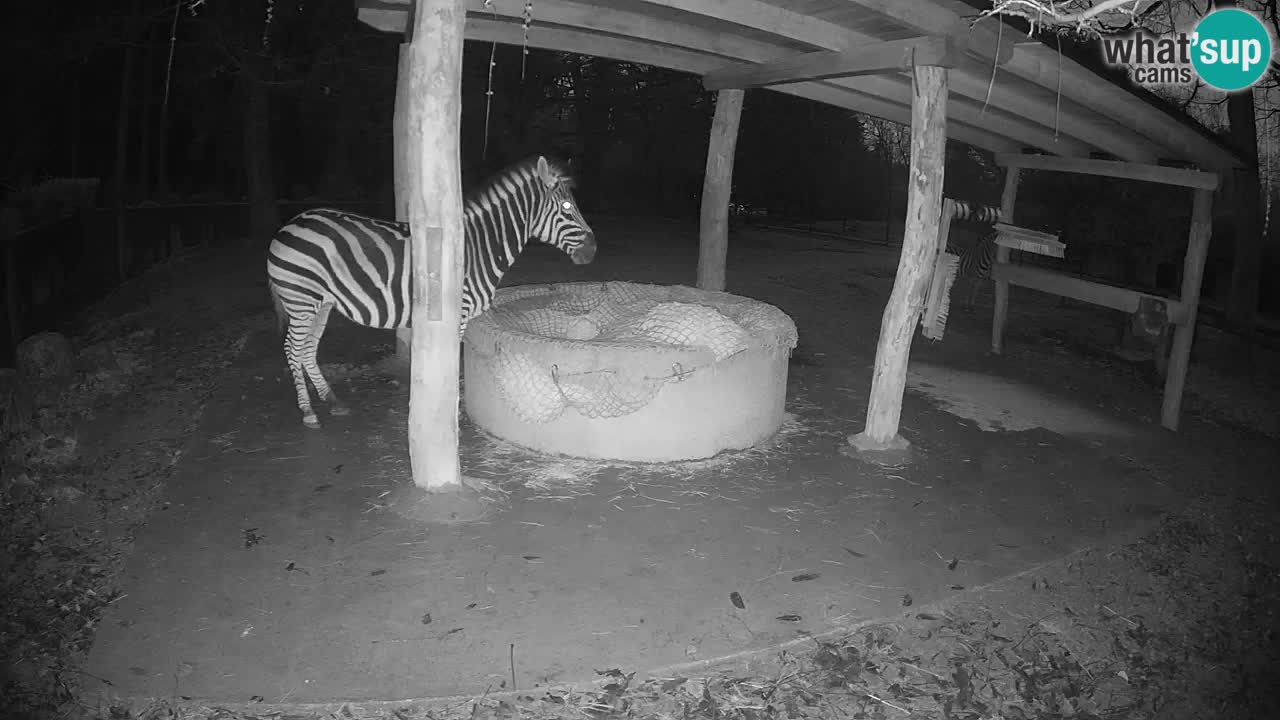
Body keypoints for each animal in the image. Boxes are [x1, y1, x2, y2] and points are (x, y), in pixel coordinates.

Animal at [266, 155, 596, 428]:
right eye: (567, 208)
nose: (593, 251)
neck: (479, 247)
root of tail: (291, 224)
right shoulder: (458, 312)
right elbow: (452, 363)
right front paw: (449, 408)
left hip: (321, 302)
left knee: (308, 349)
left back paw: (332, 400)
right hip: (301, 299)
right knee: (293, 349)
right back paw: (308, 411)